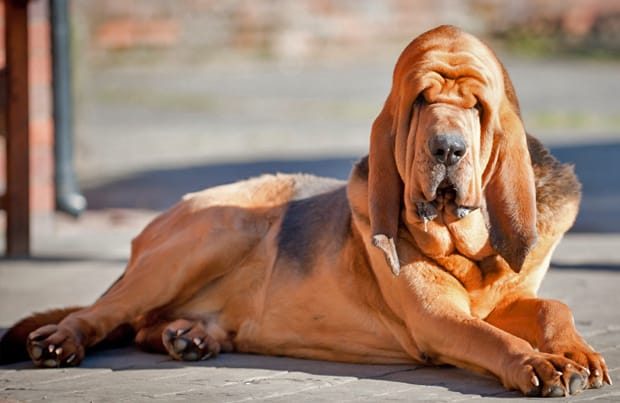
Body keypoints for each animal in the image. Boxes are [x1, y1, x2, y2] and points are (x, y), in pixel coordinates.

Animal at [0, 24, 612, 398]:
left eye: (479, 107)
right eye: (421, 100)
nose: (447, 149)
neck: (470, 250)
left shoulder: (506, 300)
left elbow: (551, 305)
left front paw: (576, 353)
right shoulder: (440, 320)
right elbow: (494, 340)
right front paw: (538, 364)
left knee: (145, 325)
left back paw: (190, 336)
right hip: (217, 229)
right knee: (104, 314)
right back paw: (61, 341)